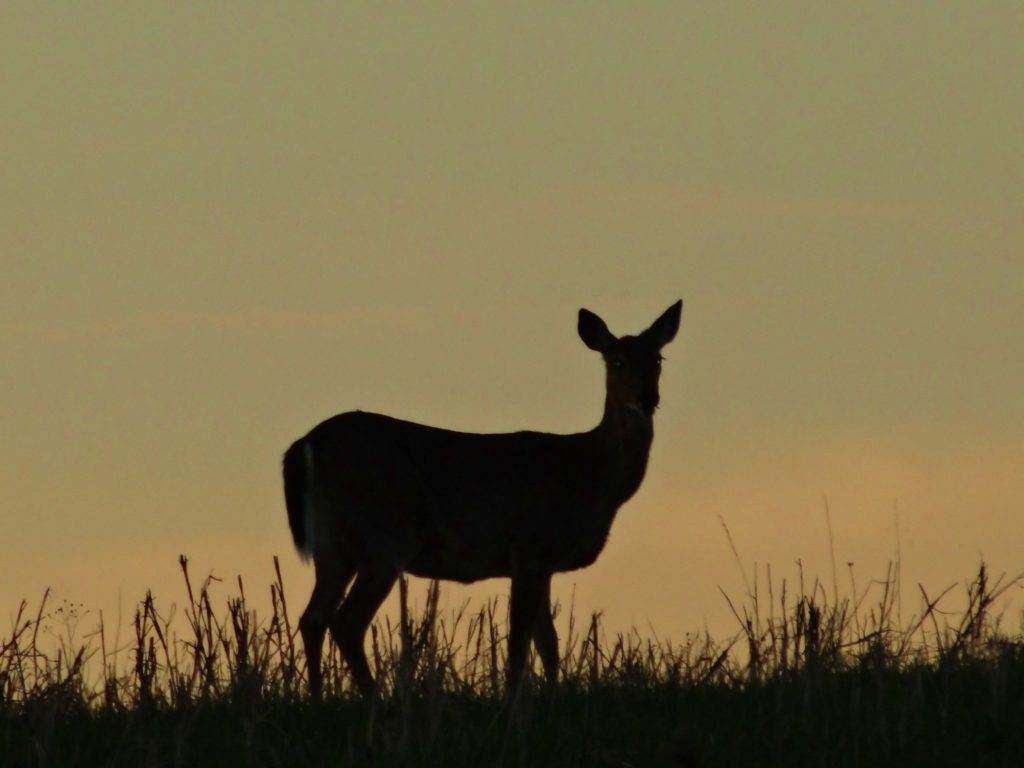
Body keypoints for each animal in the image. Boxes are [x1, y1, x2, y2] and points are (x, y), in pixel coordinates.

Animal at [283, 300, 682, 697]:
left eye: (658, 359)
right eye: (617, 361)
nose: (648, 398)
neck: (589, 472)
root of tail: (305, 444)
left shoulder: (542, 562)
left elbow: (548, 644)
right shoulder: (529, 548)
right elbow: (519, 643)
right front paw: (512, 702)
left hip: (334, 547)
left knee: (313, 618)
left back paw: (318, 698)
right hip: (383, 540)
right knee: (346, 622)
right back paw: (375, 701)